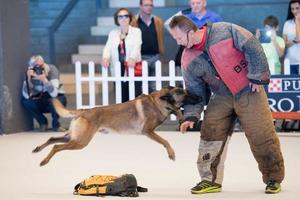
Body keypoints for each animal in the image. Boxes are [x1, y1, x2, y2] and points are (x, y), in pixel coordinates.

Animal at [32, 86, 192, 166]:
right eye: (182, 93)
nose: (195, 94)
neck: (157, 103)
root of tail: (84, 111)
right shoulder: (148, 131)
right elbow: (166, 141)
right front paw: (171, 153)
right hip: (80, 142)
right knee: (56, 146)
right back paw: (44, 161)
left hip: (74, 138)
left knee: (52, 139)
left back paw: (38, 149)